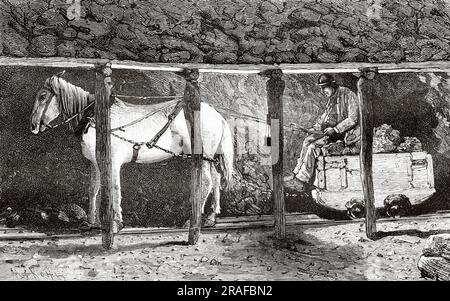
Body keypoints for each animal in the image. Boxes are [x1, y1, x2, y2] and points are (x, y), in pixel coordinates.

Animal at [30, 72, 236, 232]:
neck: (96, 119)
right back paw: (210, 219)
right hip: (209, 157)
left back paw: (192, 221)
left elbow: (114, 188)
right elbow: (94, 189)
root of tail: (217, 115)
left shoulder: (112, 162)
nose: (33, 126)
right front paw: (93, 222)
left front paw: (116, 223)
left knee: (207, 183)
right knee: (216, 181)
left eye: (43, 96)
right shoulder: (95, 163)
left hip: (202, 157)